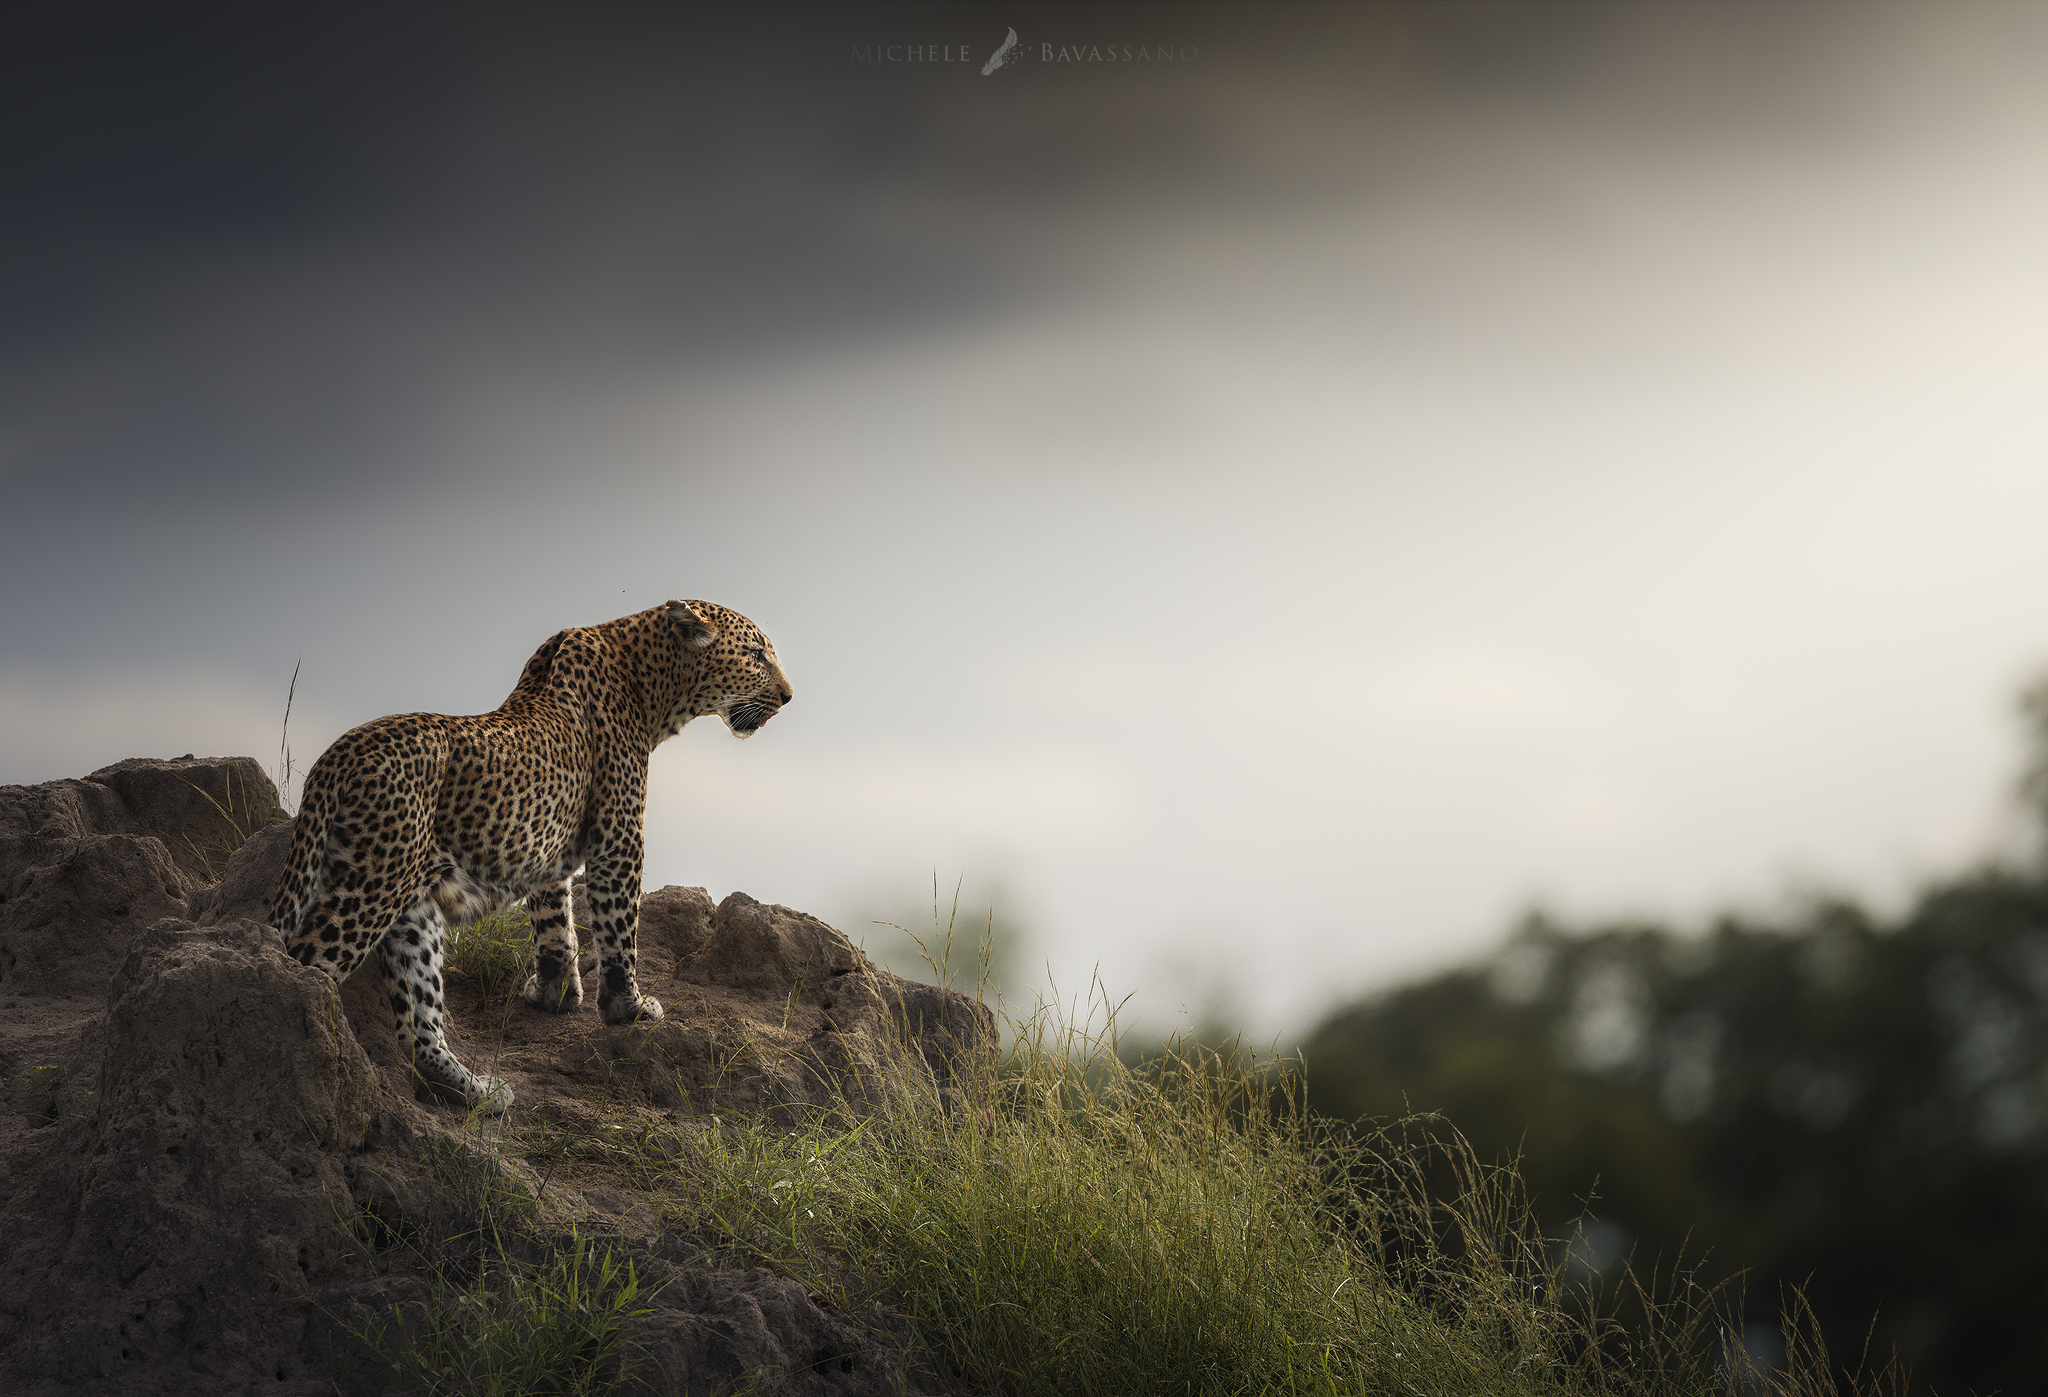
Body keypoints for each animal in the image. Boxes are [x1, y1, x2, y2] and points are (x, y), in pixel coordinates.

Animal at [271, 599, 792, 1113]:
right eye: (757, 655)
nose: (789, 696)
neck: (651, 684)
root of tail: (338, 754)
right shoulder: (620, 835)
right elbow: (619, 926)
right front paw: (628, 1008)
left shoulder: (549, 852)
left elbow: (555, 922)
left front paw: (554, 994)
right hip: (373, 885)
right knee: (306, 961)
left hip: (413, 910)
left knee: (417, 1019)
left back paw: (476, 1092)